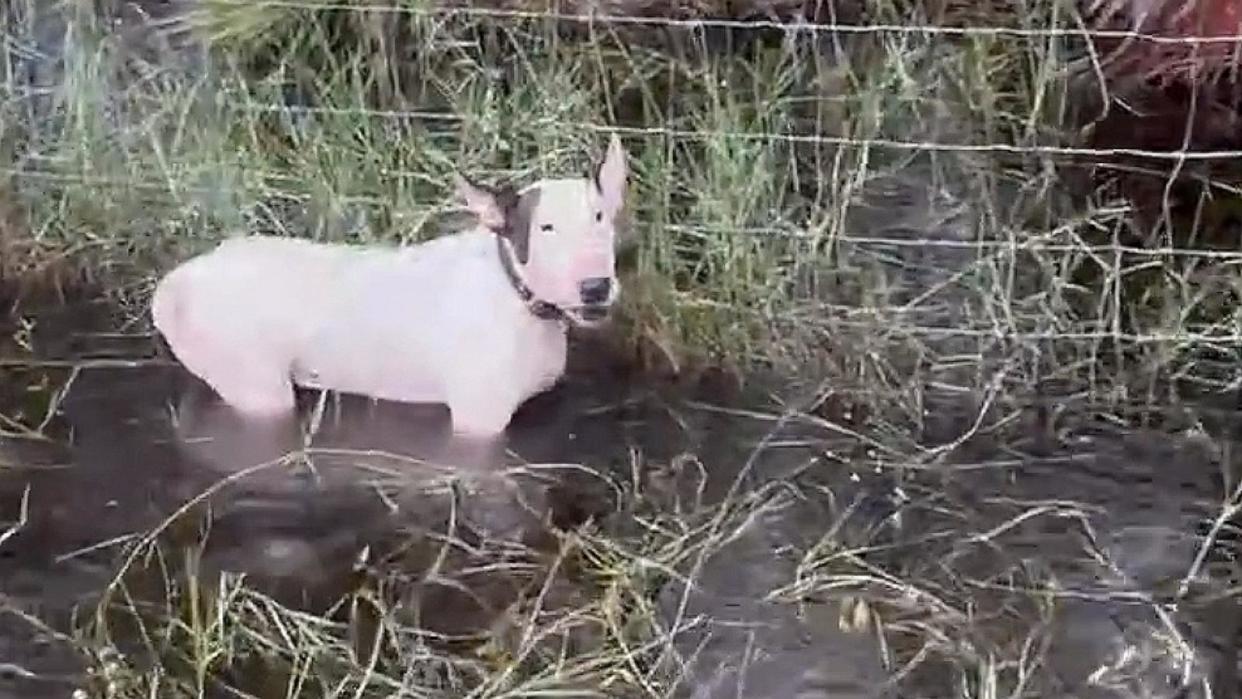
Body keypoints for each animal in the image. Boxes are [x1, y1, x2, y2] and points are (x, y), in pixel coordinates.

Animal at [149, 133, 625, 437]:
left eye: (600, 217)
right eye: (545, 227)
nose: (595, 286)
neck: (516, 295)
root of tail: (176, 282)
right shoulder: (478, 421)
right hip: (256, 384)